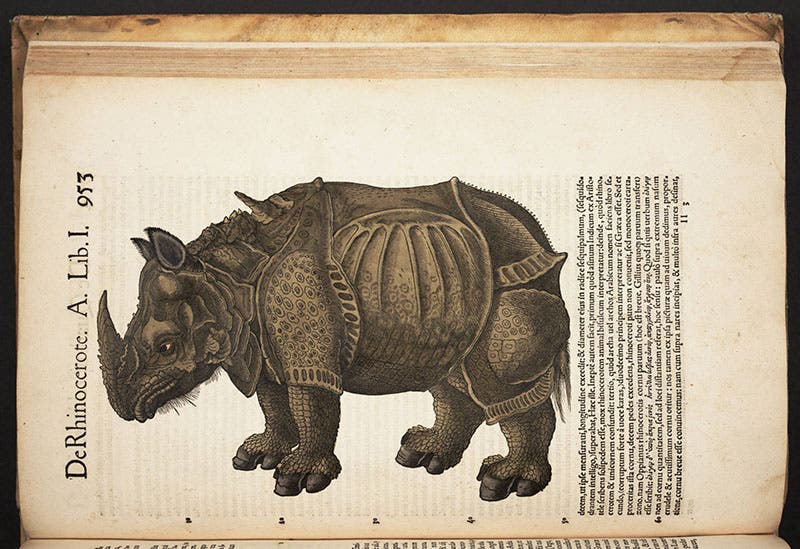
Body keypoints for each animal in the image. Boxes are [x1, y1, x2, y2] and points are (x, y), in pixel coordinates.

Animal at [97, 177, 569, 501]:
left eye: (166, 347)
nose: (126, 408)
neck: (226, 279)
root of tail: (539, 236)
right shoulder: (261, 342)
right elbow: (273, 401)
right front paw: (258, 455)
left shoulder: (307, 339)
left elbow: (313, 404)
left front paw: (297, 479)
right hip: (455, 280)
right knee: (451, 375)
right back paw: (423, 455)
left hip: (510, 276)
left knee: (498, 377)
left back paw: (505, 484)